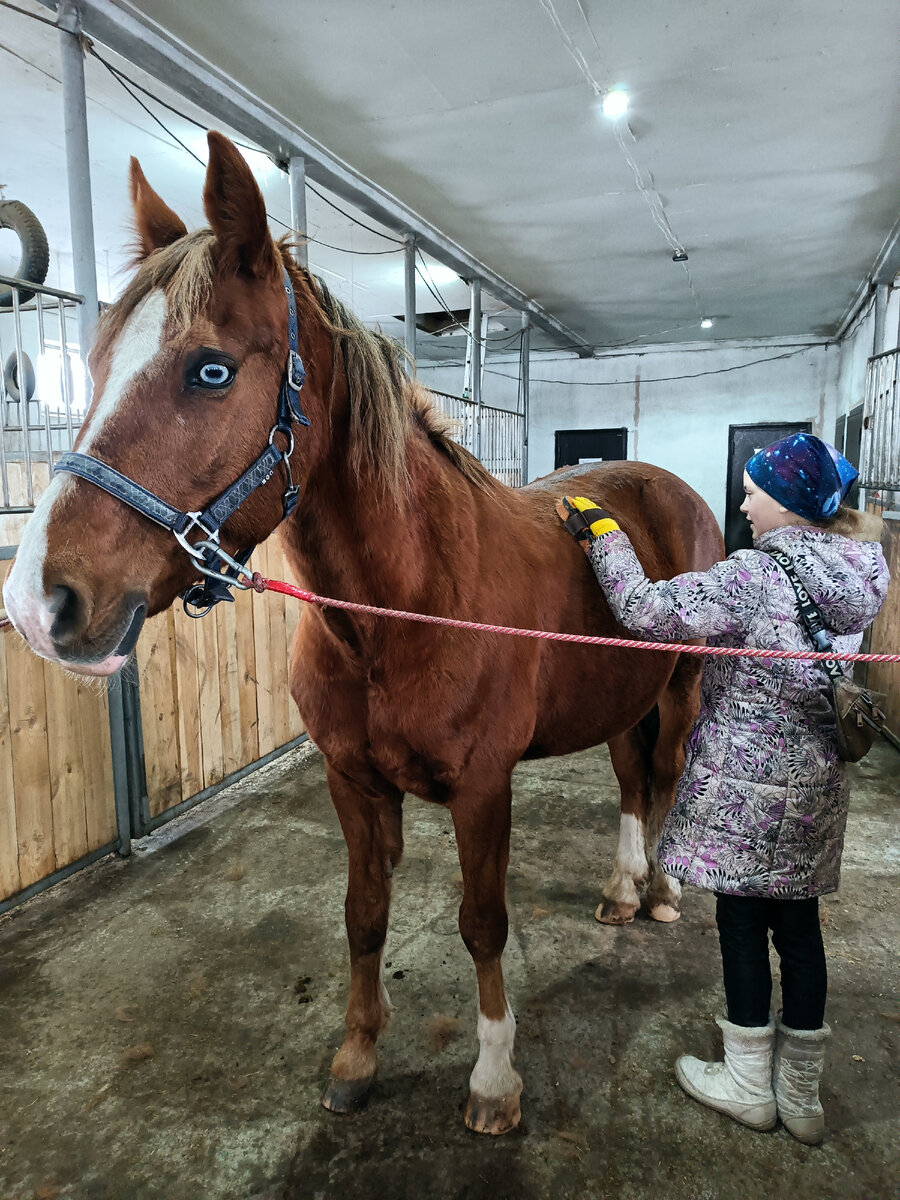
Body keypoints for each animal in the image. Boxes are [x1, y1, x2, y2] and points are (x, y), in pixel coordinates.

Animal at [3, 131, 724, 1132]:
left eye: (211, 369)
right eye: (99, 366)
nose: (39, 602)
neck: (401, 612)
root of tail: (664, 485)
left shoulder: (483, 790)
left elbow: (482, 922)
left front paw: (493, 1079)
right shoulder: (352, 782)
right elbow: (362, 913)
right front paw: (357, 1055)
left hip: (684, 685)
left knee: (668, 774)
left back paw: (659, 891)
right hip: (620, 694)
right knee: (628, 778)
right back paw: (621, 889)